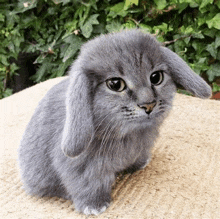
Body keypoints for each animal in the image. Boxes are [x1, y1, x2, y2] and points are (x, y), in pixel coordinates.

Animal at [18, 29, 211, 216]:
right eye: (115, 84)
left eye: (156, 77)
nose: (148, 104)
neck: (130, 134)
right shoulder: (82, 169)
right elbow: (88, 185)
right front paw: (94, 207)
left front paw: (141, 164)